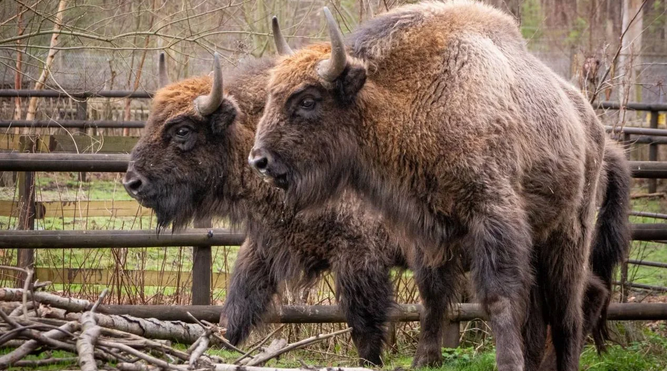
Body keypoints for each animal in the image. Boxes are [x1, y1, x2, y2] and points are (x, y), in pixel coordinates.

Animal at [250, 1, 632, 370]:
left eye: (307, 100)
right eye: (271, 95)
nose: (259, 160)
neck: (417, 96)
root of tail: (595, 129)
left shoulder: (493, 216)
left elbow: (498, 296)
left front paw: (508, 363)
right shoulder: (427, 229)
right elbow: (432, 295)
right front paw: (424, 360)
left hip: (569, 233)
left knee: (568, 308)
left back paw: (566, 360)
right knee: (545, 310)